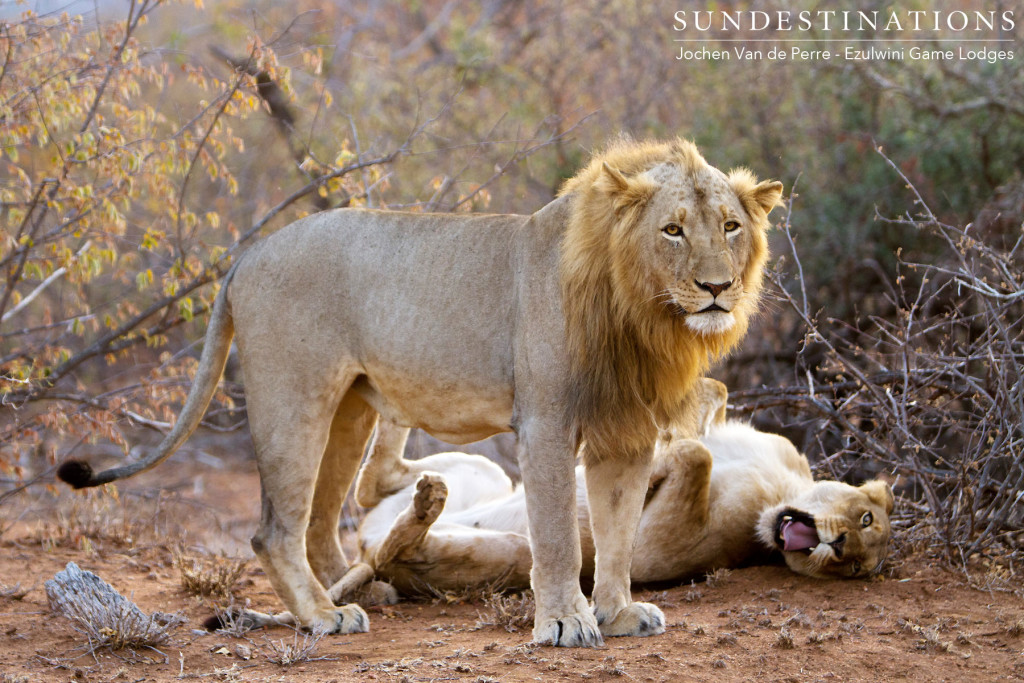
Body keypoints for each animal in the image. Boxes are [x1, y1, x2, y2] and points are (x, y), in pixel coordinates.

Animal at [59, 139, 782, 647]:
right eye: (673, 230)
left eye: (730, 225)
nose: (717, 288)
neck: (644, 315)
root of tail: (247, 253)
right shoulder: (546, 422)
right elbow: (557, 535)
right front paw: (565, 623)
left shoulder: (626, 432)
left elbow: (618, 531)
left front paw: (619, 611)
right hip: (294, 397)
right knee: (274, 529)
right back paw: (323, 616)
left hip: (350, 406)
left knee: (327, 515)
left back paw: (358, 593)